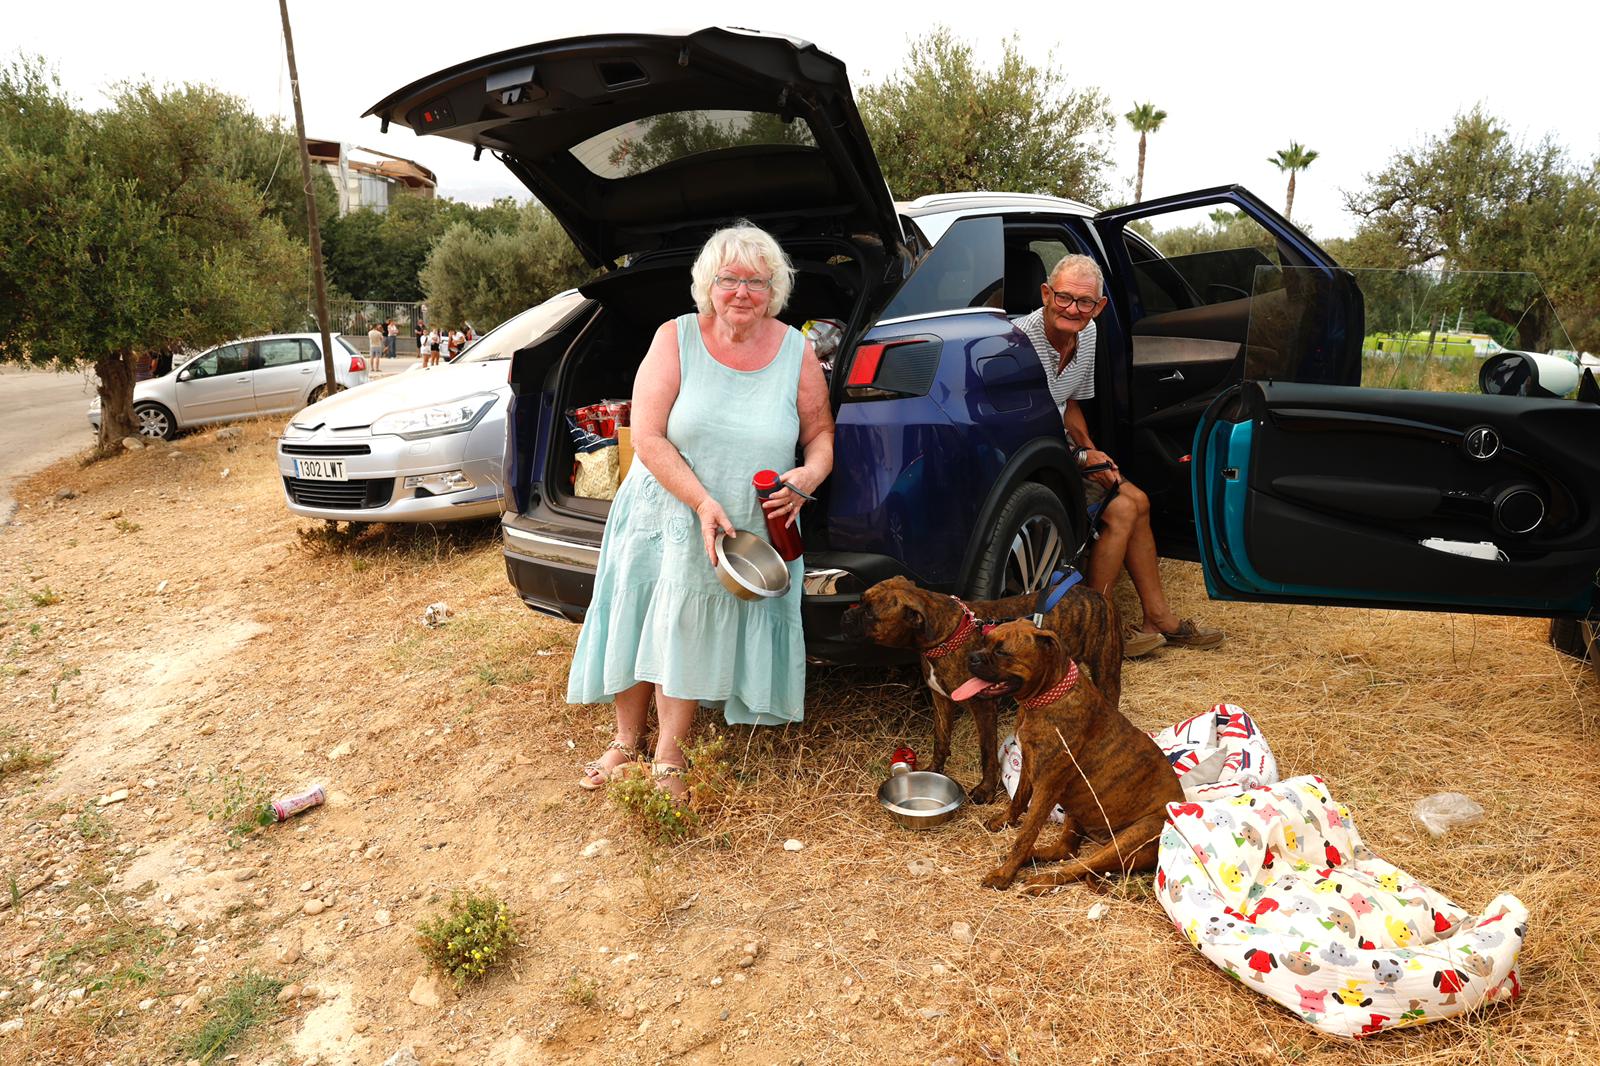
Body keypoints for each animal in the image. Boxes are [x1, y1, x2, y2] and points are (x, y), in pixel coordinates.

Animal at [838, 576, 1126, 800]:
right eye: (860, 600)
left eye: (869, 613)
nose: (846, 615)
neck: (947, 635)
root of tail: (1095, 593)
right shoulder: (941, 701)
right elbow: (940, 740)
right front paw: (934, 769)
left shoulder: (983, 708)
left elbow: (987, 752)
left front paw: (986, 790)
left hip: (1106, 673)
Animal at [953, 614, 1184, 889]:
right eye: (985, 642)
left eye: (1002, 652)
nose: (971, 657)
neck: (1047, 698)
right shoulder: (1029, 766)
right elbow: (1018, 800)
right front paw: (1004, 822)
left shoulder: (1046, 787)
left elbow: (1025, 835)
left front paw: (1004, 874)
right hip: (1078, 810)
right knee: (1065, 850)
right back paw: (1034, 860)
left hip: (1131, 838)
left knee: (1079, 866)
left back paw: (1040, 880)